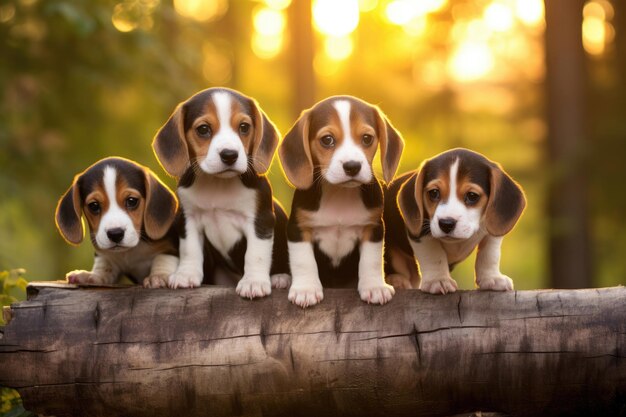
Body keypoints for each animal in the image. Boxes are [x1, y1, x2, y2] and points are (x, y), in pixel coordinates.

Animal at [53, 156, 178, 286]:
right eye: (94, 205)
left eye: (132, 201)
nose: (115, 234)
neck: (130, 251)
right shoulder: (106, 256)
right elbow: (105, 265)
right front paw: (92, 276)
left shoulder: (171, 247)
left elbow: (164, 257)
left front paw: (159, 275)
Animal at [152, 87, 288, 296]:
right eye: (203, 129)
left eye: (244, 127)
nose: (230, 155)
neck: (218, 184)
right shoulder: (188, 218)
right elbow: (190, 249)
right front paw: (186, 275)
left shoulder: (260, 219)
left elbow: (255, 254)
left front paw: (253, 281)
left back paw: (280, 278)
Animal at [278, 96, 404, 308]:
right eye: (327, 140)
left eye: (367, 138)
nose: (352, 166)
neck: (339, 193)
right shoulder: (298, 228)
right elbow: (303, 260)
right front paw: (306, 289)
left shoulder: (373, 227)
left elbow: (371, 260)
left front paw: (374, 287)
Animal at [382, 149, 524, 292]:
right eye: (434, 192)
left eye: (472, 196)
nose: (446, 223)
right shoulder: (421, 233)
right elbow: (434, 255)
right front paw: (438, 280)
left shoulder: (491, 233)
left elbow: (489, 255)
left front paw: (492, 278)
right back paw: (397, 280)